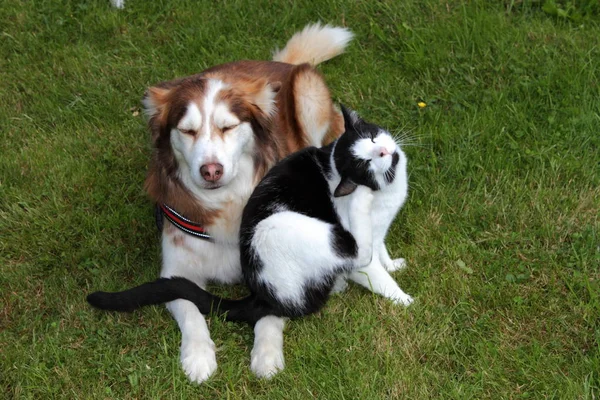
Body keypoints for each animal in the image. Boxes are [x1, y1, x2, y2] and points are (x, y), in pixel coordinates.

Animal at [88, 105, 412, 378]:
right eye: (365, 162)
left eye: (373, 137)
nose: (384, 150)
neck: (389, 189)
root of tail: (262, 295)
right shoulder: (359, 249)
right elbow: (375, 271)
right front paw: (404, 299)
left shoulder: (381, 229)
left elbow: (381, 250)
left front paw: (393, 264)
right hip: (277, 227)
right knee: (356, 251)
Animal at [137, 24, 352, 382]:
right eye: (187, 131)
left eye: (228, 126)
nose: (211, 170)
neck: (224, 203)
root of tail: (280, 64)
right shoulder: (176, 268)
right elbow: (190, 308)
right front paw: (198, 357)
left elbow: (271, 313)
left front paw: (266, 355)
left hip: (307, 90)